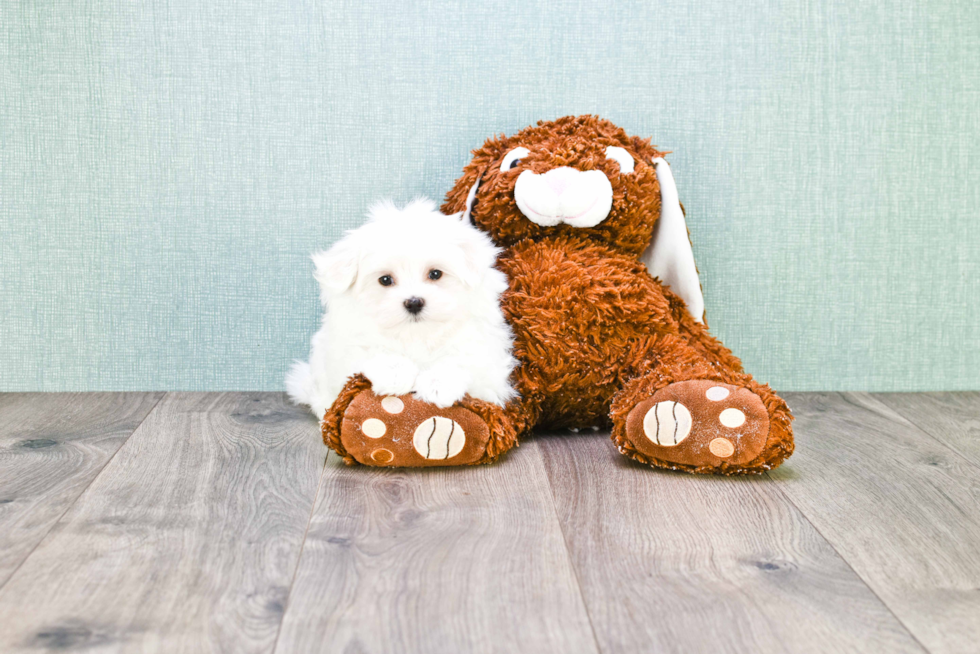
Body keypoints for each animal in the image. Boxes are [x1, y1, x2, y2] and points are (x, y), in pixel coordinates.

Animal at [288, 197, 516, 420]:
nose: (414, 302)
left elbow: (461, 358)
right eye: (385, 280)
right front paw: (395, 373)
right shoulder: (344, 347)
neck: (416, 334)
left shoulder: (486, 359)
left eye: (435, 274)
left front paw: (438, 384)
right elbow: (371, 351)